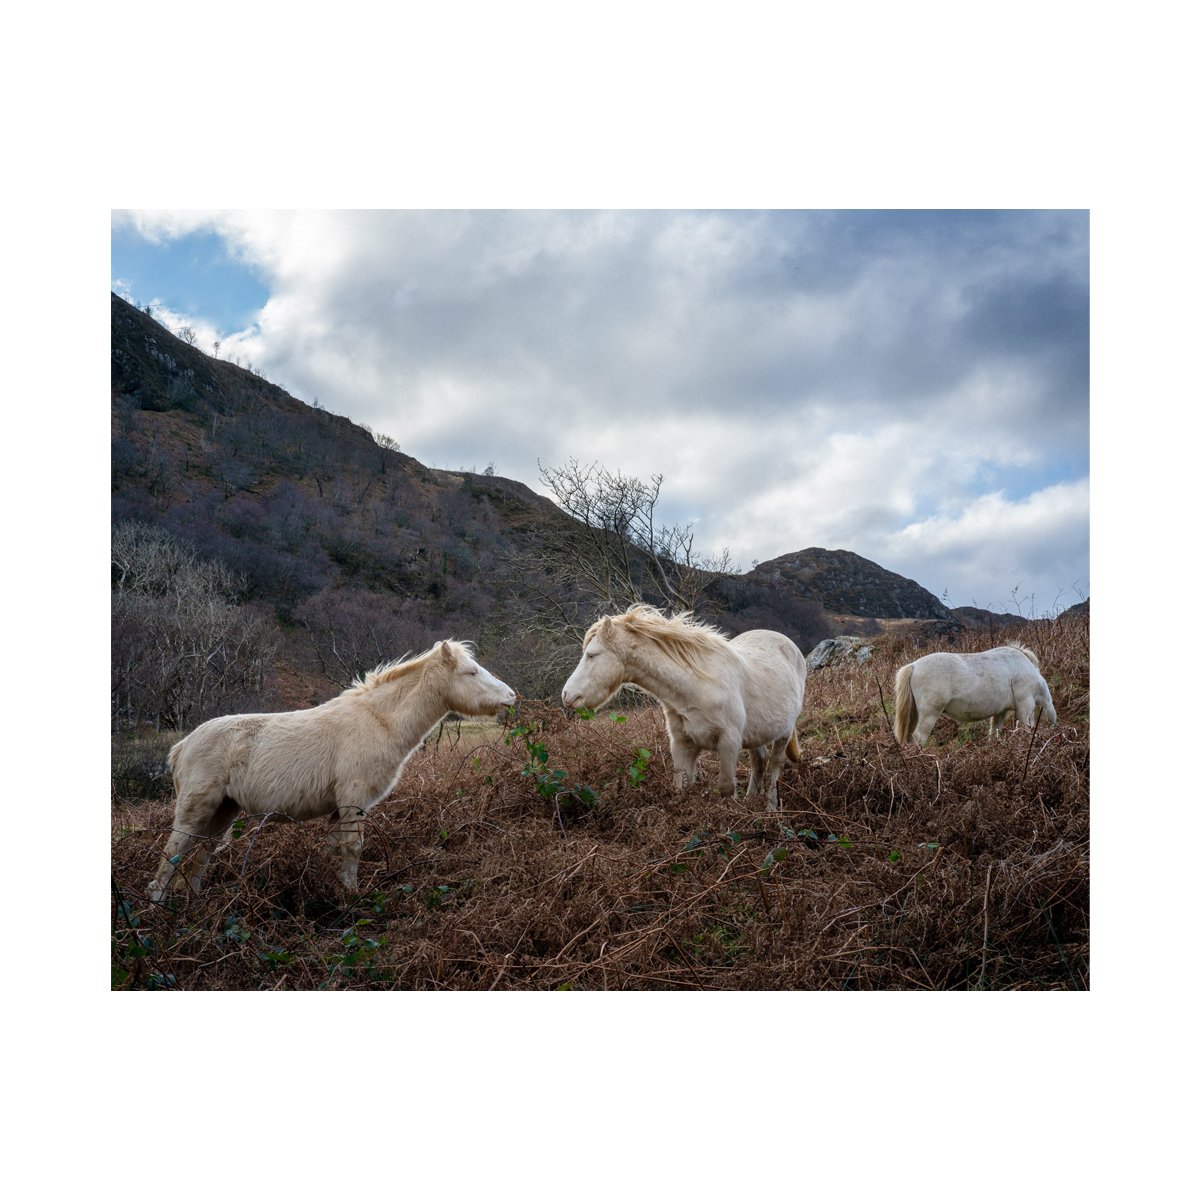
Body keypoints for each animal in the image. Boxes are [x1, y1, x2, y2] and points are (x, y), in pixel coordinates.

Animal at [149, 640, 515, 900]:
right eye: (471, 672)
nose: (511, 696)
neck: (379, 721)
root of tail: (182, 746)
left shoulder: (341, 809)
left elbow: (335, 850)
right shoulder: (353, 800)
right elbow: (353, 847)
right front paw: (352, 896)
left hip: (223, 812)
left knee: (199, 858)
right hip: (197, 810)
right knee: (171, 856)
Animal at [561, 605, 807, 810]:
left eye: (591, 655)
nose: (567, 696)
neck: (695, 687)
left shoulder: (729, 743)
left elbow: (726, 789)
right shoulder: (682, 745)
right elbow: (682, 788)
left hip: (783, 732)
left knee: (775, 766)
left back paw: (771, 808)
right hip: (757, 733)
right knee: (759, 761)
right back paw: (750, 801)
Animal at [892, 642, 1057, 749]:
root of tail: (913, 666)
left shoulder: (1000, 712)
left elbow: (994, 733)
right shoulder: (1024, 707)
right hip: (929, 715)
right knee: (919, 738)